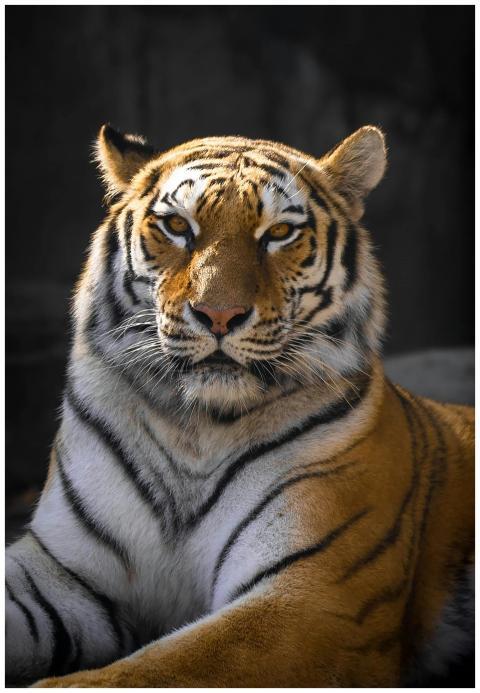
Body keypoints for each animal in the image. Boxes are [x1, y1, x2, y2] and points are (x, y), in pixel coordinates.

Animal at [5, 124, 474, 688]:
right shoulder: (60, 568)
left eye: (279, 233)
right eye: (177, 226)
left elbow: (152, 670)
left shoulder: (314, 597)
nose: (218, 314)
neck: (194, 427)